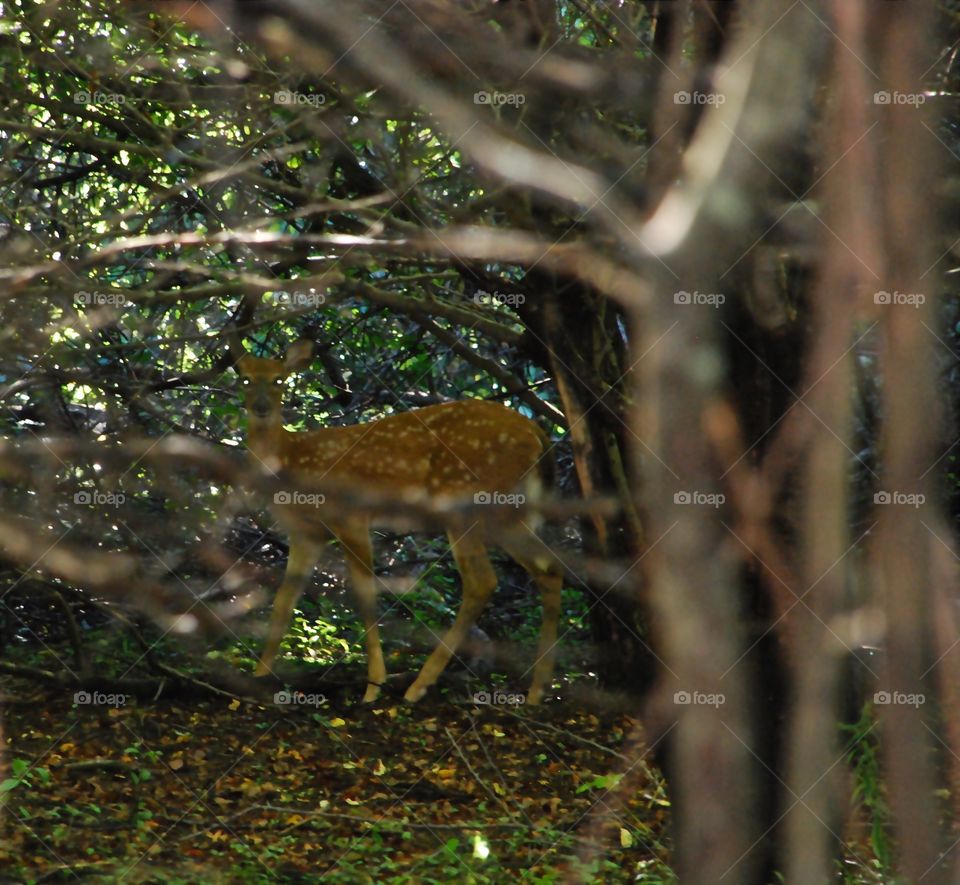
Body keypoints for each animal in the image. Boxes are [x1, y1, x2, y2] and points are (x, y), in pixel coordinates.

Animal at [230, 337, 563, 704]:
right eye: (244, 378)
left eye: (279, 380)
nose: (260, 407)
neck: (292, 456)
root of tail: (539, 434)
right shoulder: (306, 533)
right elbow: (283, 601)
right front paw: (259, 675)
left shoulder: (351, 517)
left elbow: (365, 598)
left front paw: (374, 686)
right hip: (508, 513)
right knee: (549, 569)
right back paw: (537, 690)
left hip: (466, 502)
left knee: (483, 582)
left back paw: (419, 685)